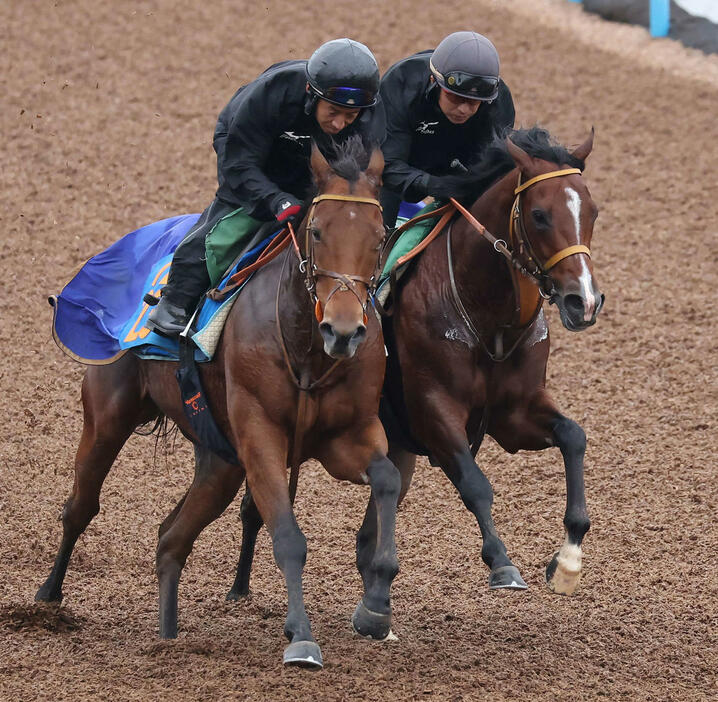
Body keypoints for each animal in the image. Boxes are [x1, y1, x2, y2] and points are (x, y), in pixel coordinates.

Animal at [36, 139, 402, 672]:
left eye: (379, 236)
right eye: (316, 231)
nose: (344, 330)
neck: (306, 348)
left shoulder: (347, 435)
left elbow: (389, 479)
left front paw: (376, 607)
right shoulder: (260, 435)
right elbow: (287, 535)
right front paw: (301, 637)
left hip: (219, 460)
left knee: (171, 538)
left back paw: (168, 638)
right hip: (107, 415)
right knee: (81, 505)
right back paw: (47, 597)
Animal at [228, 124, 604, 604]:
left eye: (593, 211)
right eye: (539, 215)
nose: (584, 301)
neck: (489, 320)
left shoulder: (515, 412)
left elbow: (574, 437)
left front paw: (568, 561)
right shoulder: (433, 410)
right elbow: (475, 483)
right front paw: (502, 562)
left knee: (366, 535)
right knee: (255, 503)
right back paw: (240, 585)